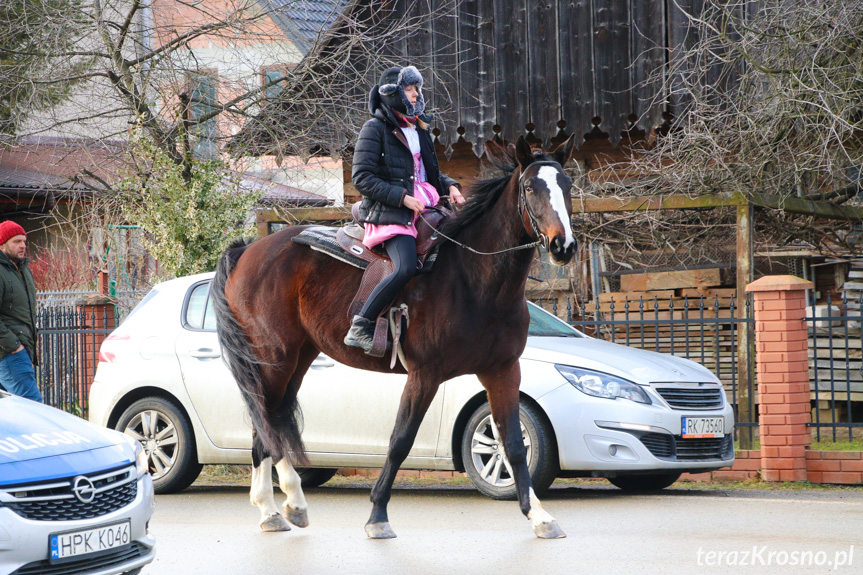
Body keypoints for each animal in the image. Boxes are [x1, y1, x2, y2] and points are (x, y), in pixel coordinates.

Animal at [212, 135, 576, 540]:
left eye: (567, 186)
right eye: (530, 187)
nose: (563, 246)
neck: (473, 280)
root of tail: (248, 250)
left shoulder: (503, 372)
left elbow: (512, 443)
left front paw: (539, 515)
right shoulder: (425, 375)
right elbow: (400, 440)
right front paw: (378, 515)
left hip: (297, 358)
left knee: (270, 419)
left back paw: (279, 508)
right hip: (275, 356)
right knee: (264, 417)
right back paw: (282, 502)